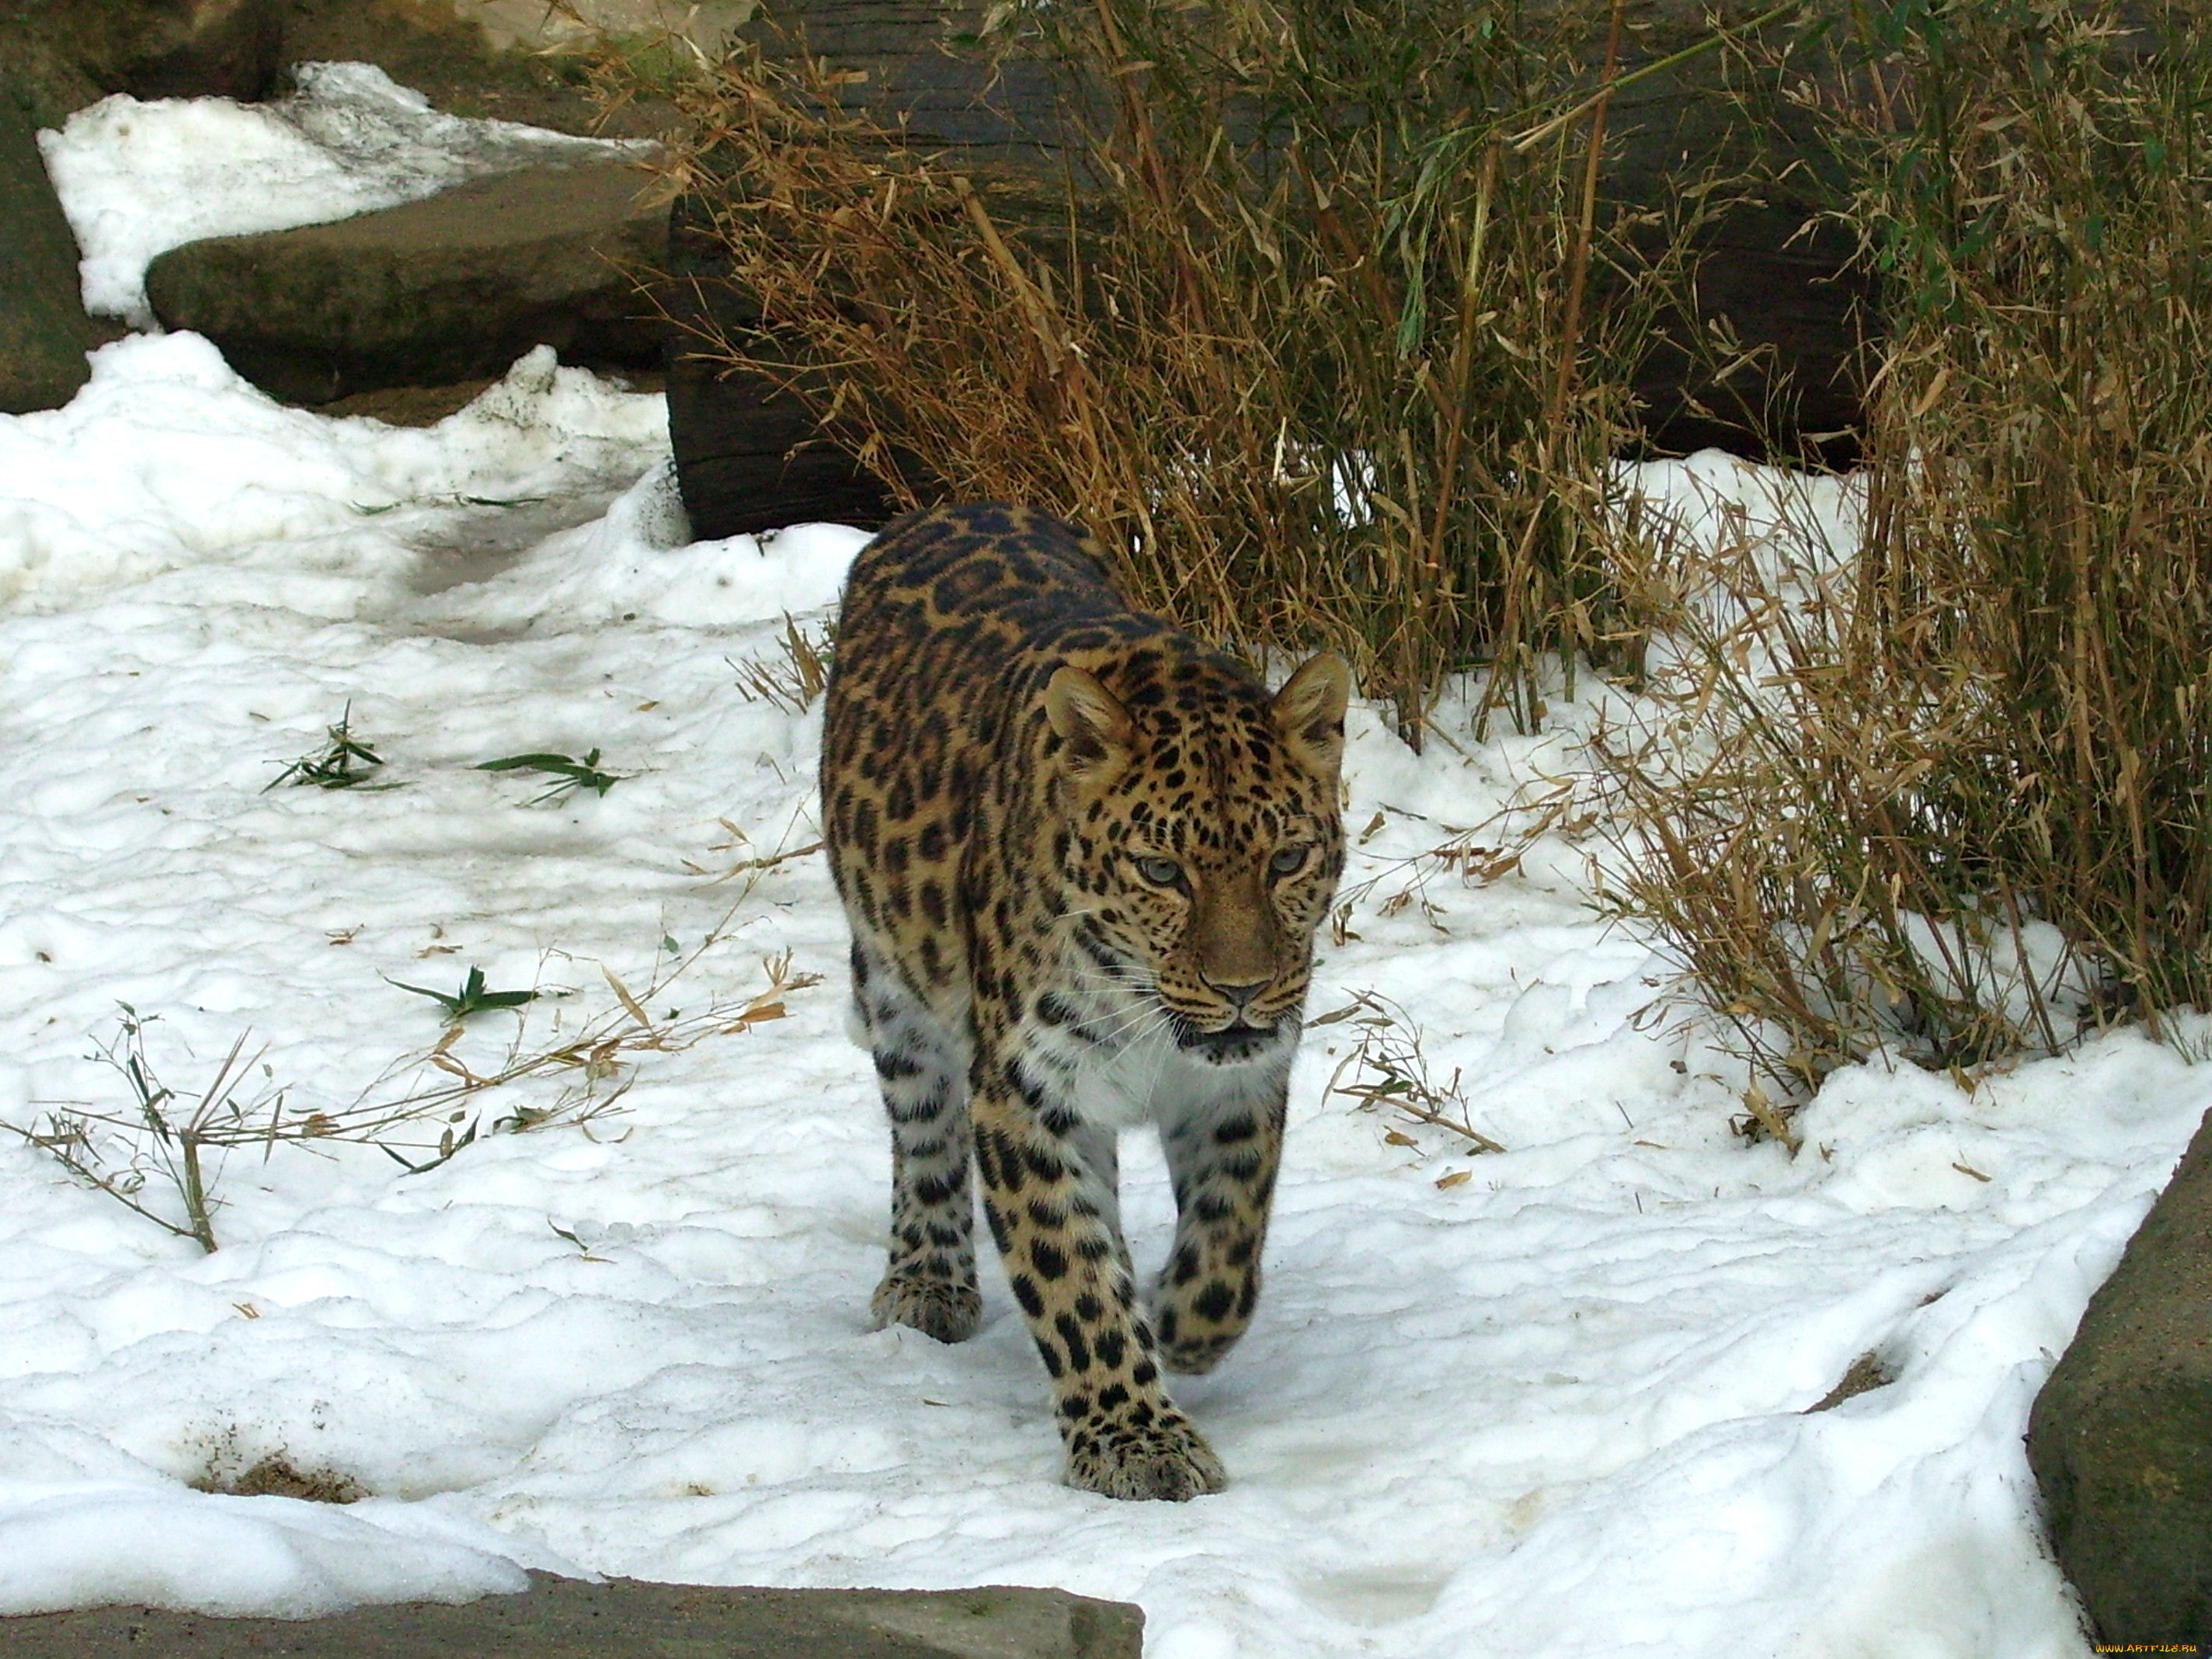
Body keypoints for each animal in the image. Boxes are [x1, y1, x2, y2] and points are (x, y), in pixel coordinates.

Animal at [823, 499, 1344, 1504]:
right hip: (895, 987)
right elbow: (1069, 1279)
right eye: (1161, 871)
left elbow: (1230, 1238)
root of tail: (946, 506)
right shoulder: (1023, 1093)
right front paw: (1135, 1440)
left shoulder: (1239, 1082)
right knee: (922, 1132)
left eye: (1288, 859)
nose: (1242, 990)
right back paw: (927, 1281)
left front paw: (1180, 1322)